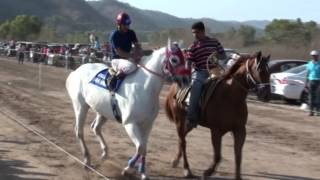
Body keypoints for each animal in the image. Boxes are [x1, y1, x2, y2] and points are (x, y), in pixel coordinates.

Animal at [65, 41, 190, 180]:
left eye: (185, 58)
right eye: (174, 59)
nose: (187, 80)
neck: (144, 88)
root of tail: (76, 71)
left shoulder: (148, 124)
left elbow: (144, 147)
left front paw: (143, 172)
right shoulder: (130, 124)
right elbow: (140, 147)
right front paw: (128, 168)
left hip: (102, 111)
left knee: (95, 128)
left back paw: (104, 153)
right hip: (80, 106)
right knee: (79, 131)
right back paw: (87, 160)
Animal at [165, 51, 270, 179]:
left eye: (269, 71)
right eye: (260, 69)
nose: (266, 94)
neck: (231, 96)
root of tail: (173, 88)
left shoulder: (240, 130)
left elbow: (238, 156)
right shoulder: (216, 131)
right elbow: (218, 156)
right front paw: (207, 172)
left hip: (189, 123)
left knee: (182, 138)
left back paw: (176, 161)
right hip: (179, 120)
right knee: (183, 141)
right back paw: (187, 169)